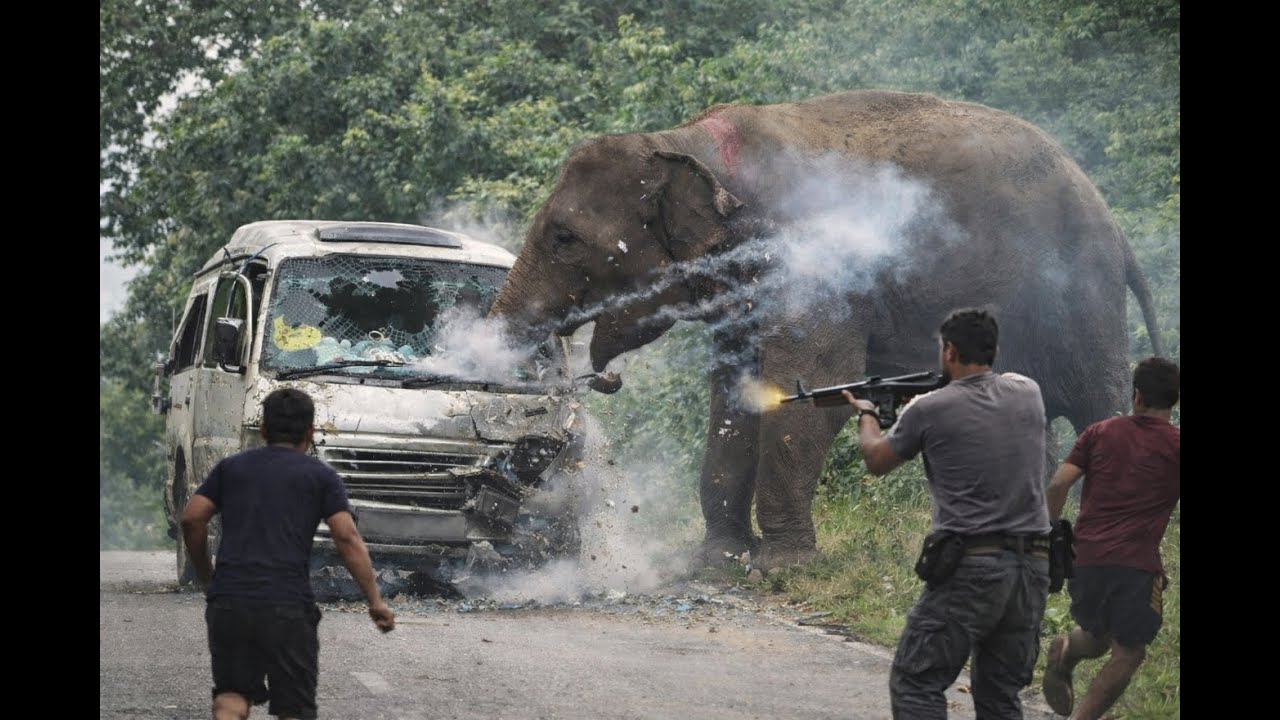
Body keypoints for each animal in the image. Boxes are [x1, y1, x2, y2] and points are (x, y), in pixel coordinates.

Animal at [488, 89, 1162, 572]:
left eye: (564, 238)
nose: (598, 378)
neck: (685, 141)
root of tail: (1114, 223)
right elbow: (735, 396)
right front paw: (719, 561)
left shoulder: (821, 264)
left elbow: (813, 388)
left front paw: (783, 567)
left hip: (1080, 299)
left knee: (1097, 405)